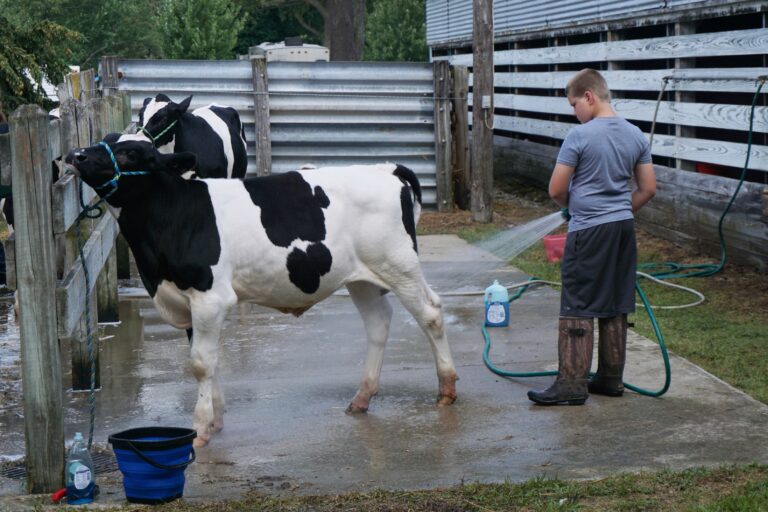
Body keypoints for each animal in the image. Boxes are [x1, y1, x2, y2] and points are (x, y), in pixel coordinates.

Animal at [64, 141, 456, 448]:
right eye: (106, 139)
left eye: (129, 152)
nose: (76, 155)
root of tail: (385, 169)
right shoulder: (188, 301)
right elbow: (209, 360)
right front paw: (216, 420)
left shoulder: (210, 296)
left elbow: (201, 363)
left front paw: (200, 428)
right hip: (362, 277)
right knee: (378, 323)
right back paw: (361, 398)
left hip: (398, 264)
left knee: (431, 313)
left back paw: (446, 390)